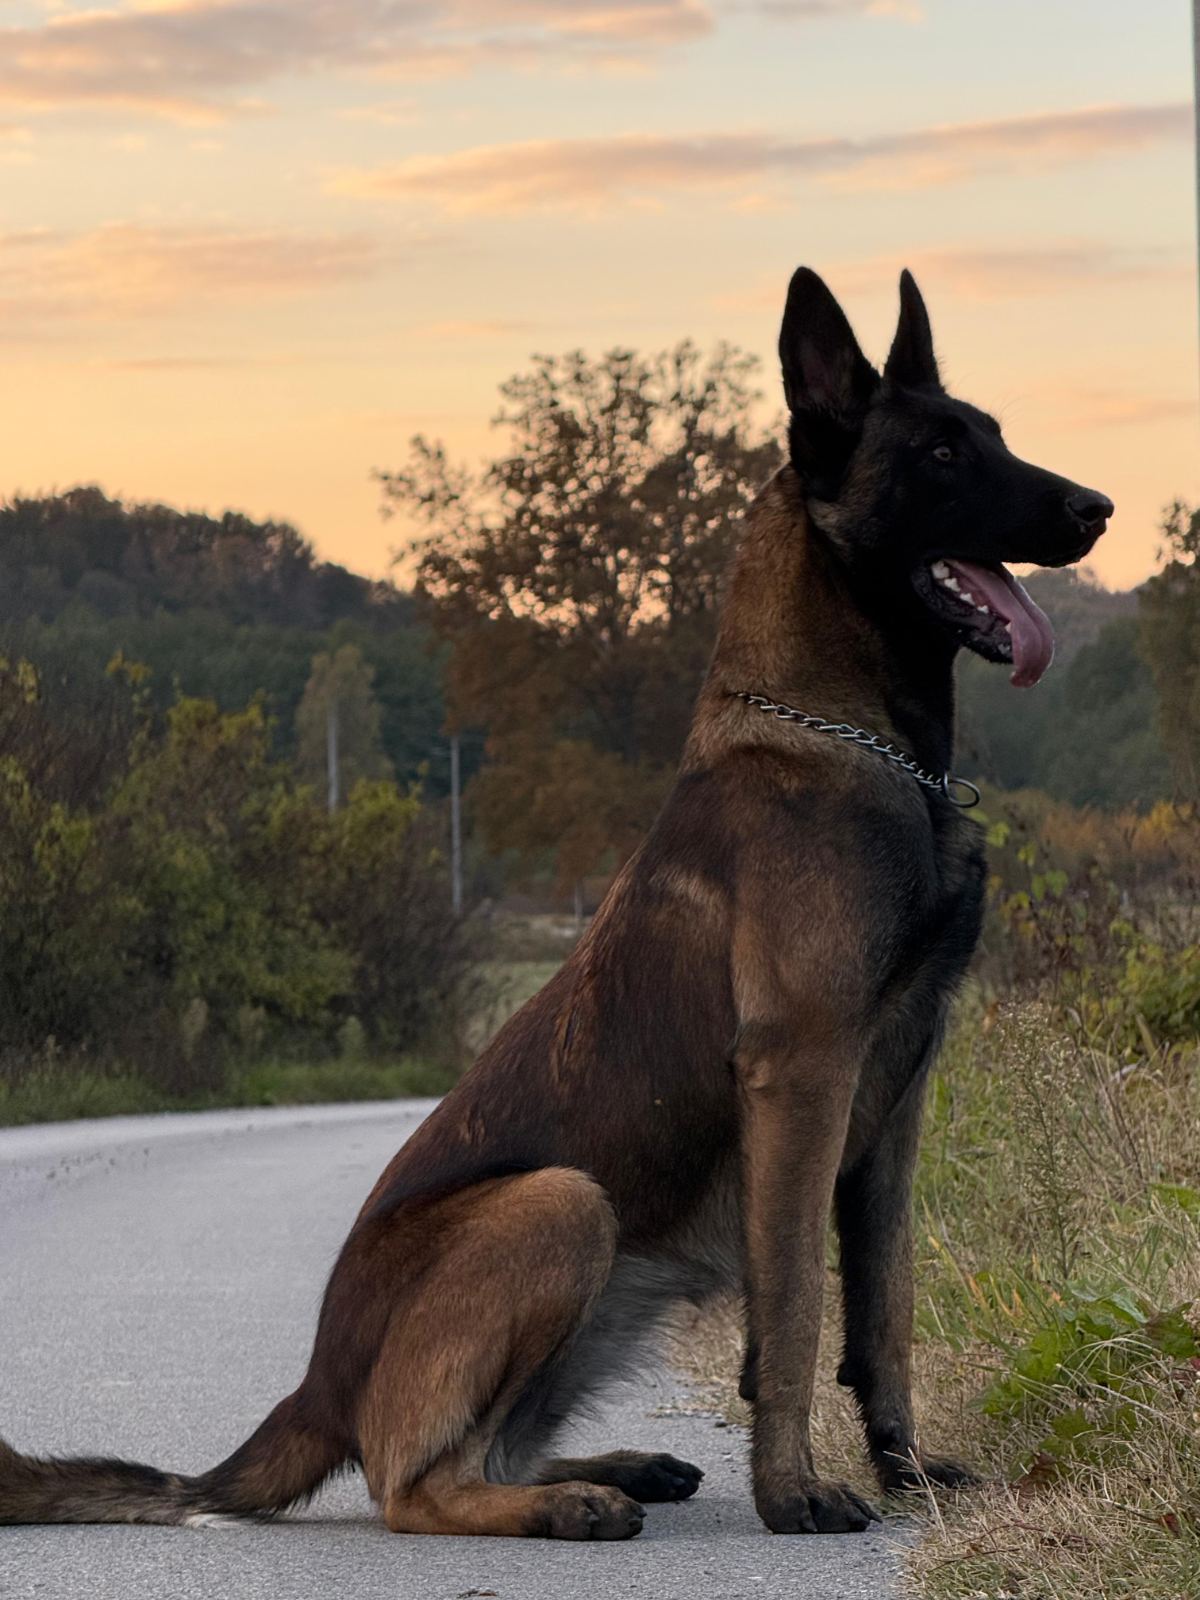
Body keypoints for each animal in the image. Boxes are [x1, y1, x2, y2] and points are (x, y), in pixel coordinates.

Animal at [0, 267, 1111, 1539]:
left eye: (993, 437)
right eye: (940, 452)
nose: (1098, 507)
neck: (853, 739)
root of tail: (317, 1385)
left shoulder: (897, 1104)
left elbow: (885, 1312)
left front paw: (908, 1470)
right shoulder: (805, 1073)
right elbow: (793, 1312)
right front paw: (793, 1491)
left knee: (489, 1445)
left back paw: (613, 1469)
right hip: (562, 1204)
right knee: (412, 1482)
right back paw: (571, 1505)